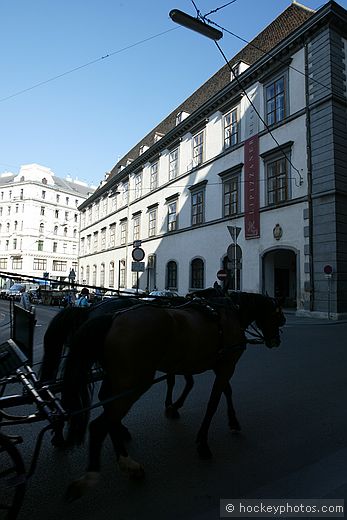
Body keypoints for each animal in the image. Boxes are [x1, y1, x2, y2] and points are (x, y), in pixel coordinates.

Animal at [54, 290, 284, 498]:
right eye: (278, 317)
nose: (276, 341)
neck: (230, 312)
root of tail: (110, 316)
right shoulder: (226, 365)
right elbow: (212, 401)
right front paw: (202, 441)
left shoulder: (214, 365)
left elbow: (220, 390)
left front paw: (230, 421)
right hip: (135, 381)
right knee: (99, 424)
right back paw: (97, 474)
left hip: (120, 379)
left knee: (107, 406)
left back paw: (124, 452)